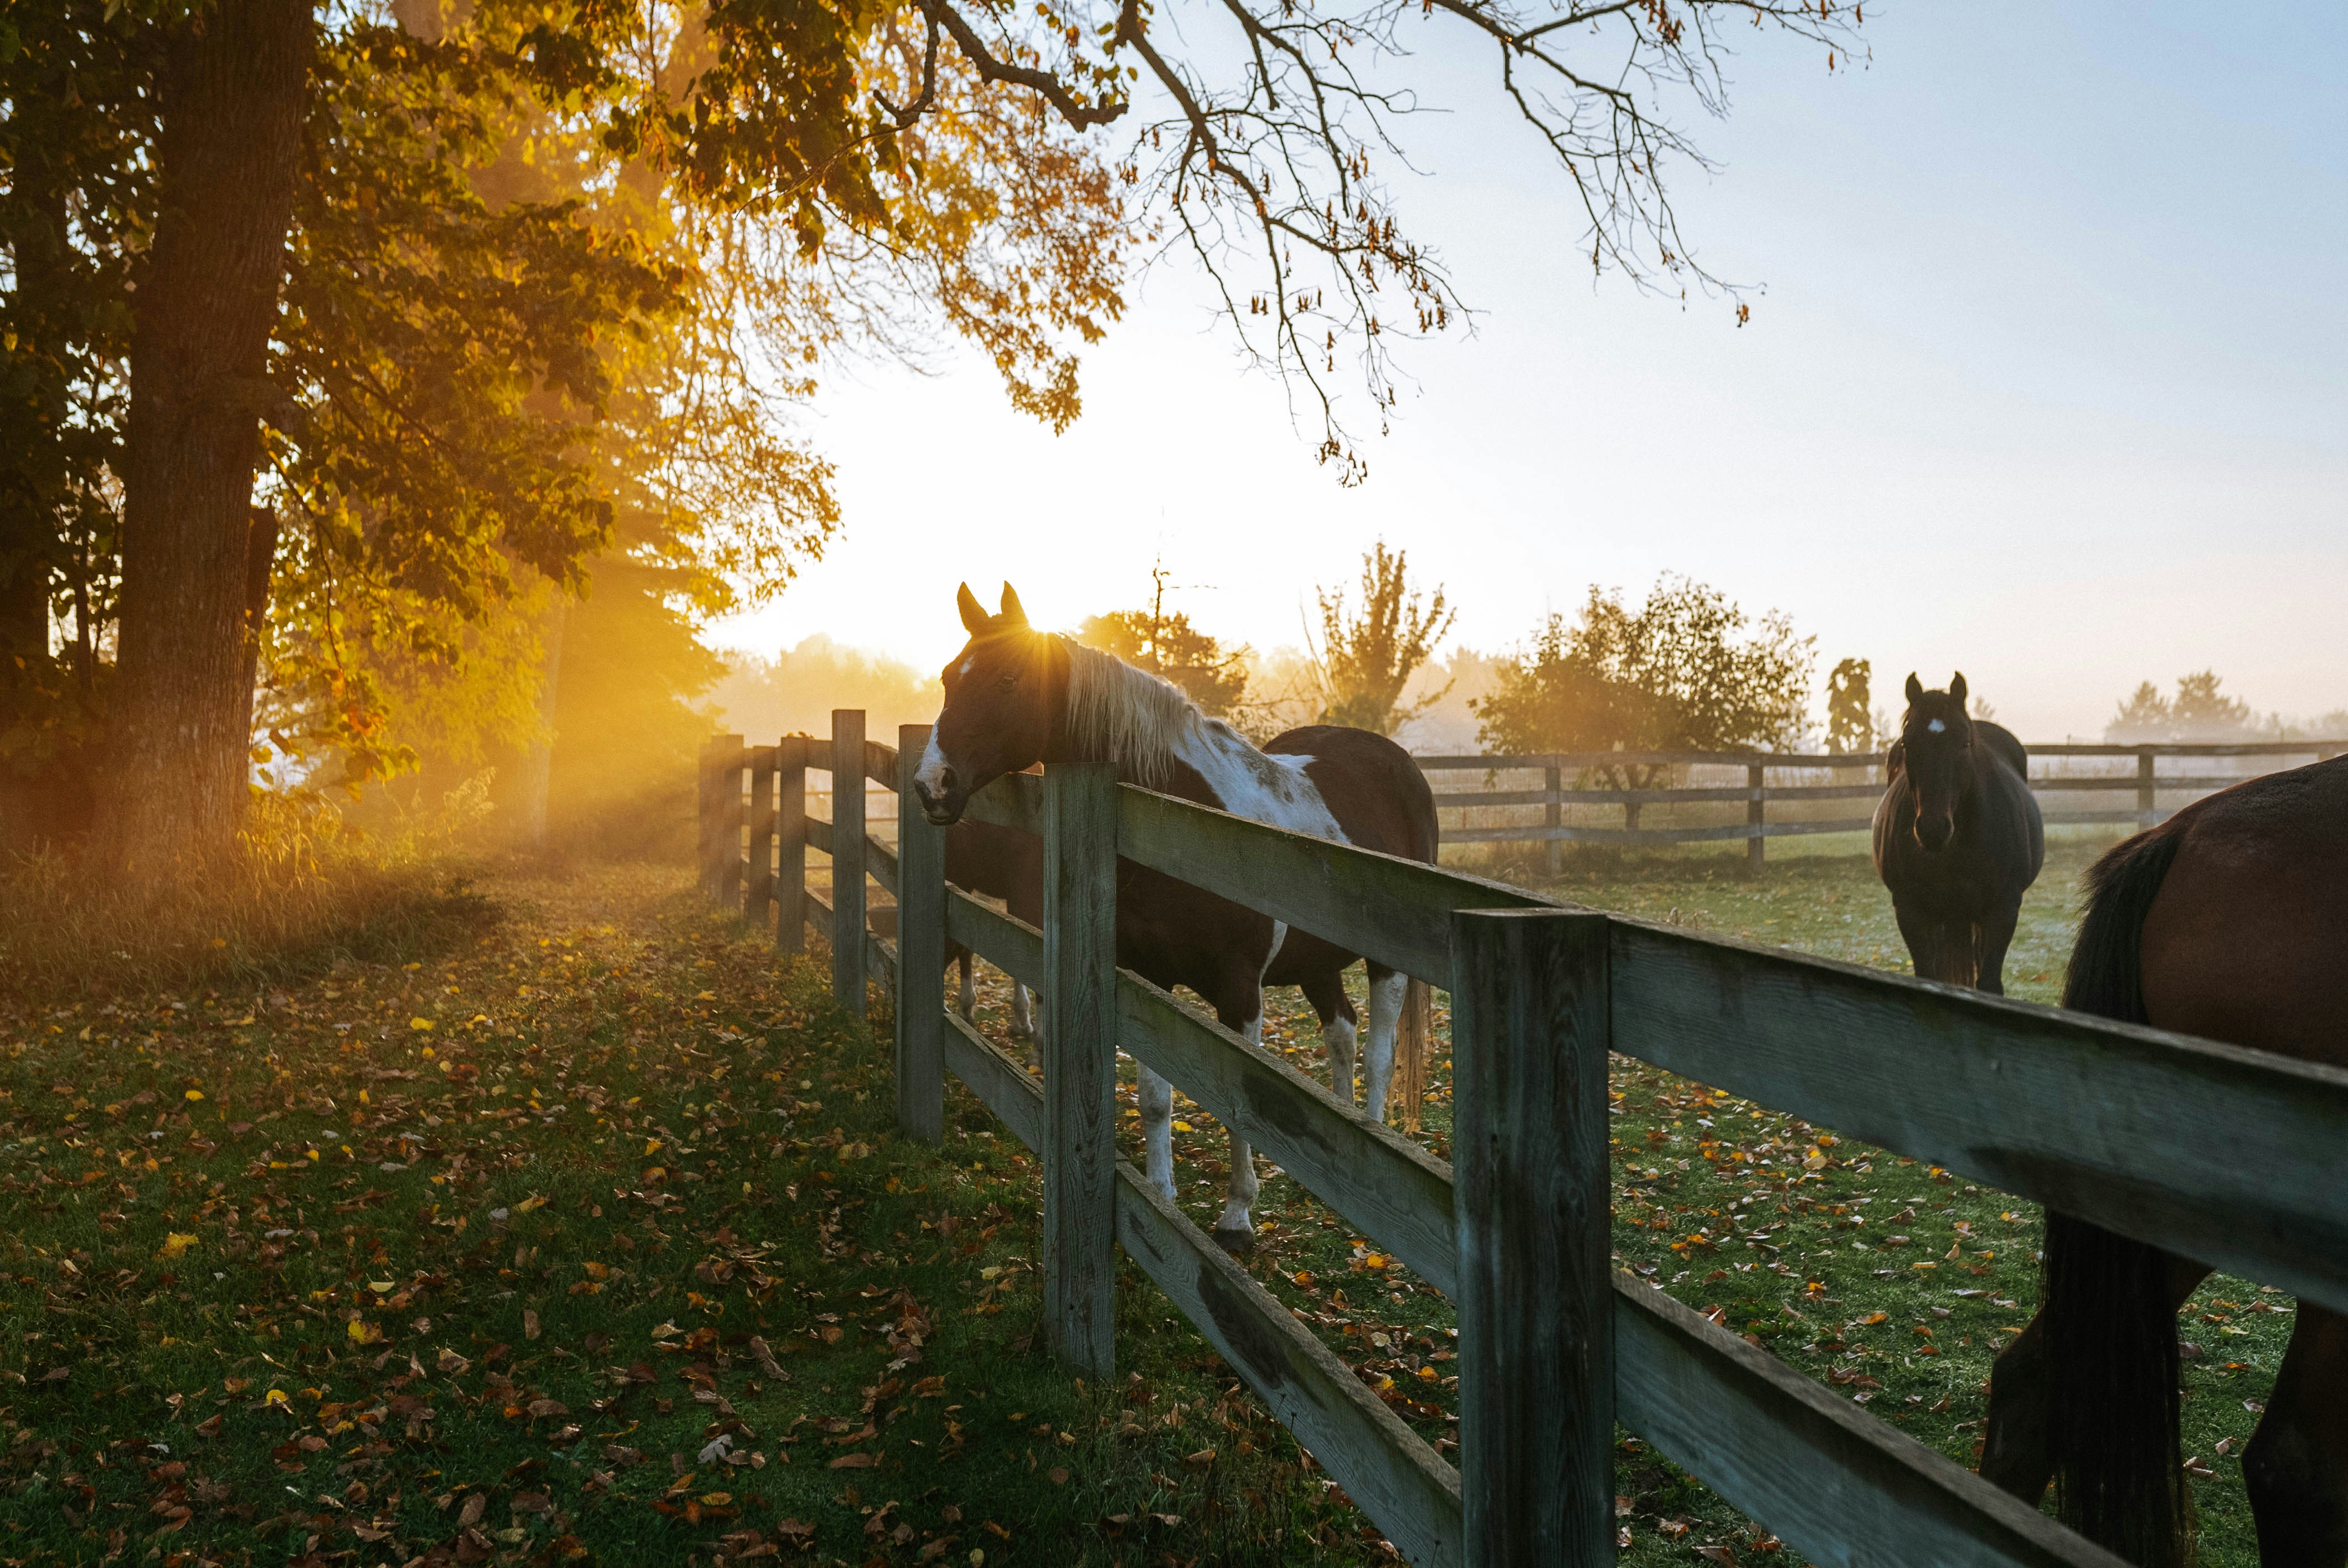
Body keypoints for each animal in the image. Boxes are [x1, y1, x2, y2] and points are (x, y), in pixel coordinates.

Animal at [911, 580, 1427, 1249]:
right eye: (949, 677)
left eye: (1007, 678)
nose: (932, 785)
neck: (1189, 820)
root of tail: (1398, 762)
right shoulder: (1148, 977)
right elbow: (1156, 1097)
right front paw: (1160, 1197)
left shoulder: (1241, 992)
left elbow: (1239, 1106)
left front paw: (1237, 1218)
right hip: (1317, 961)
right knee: (1341, 1032)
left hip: (1386, 964)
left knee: (1380, 1051)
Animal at [1878, 671, 2047, 991]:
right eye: (1907, 743)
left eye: (1964, 743)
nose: (1933, 829)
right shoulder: (1909, 910)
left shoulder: (2004, 908)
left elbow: (1990, 983)